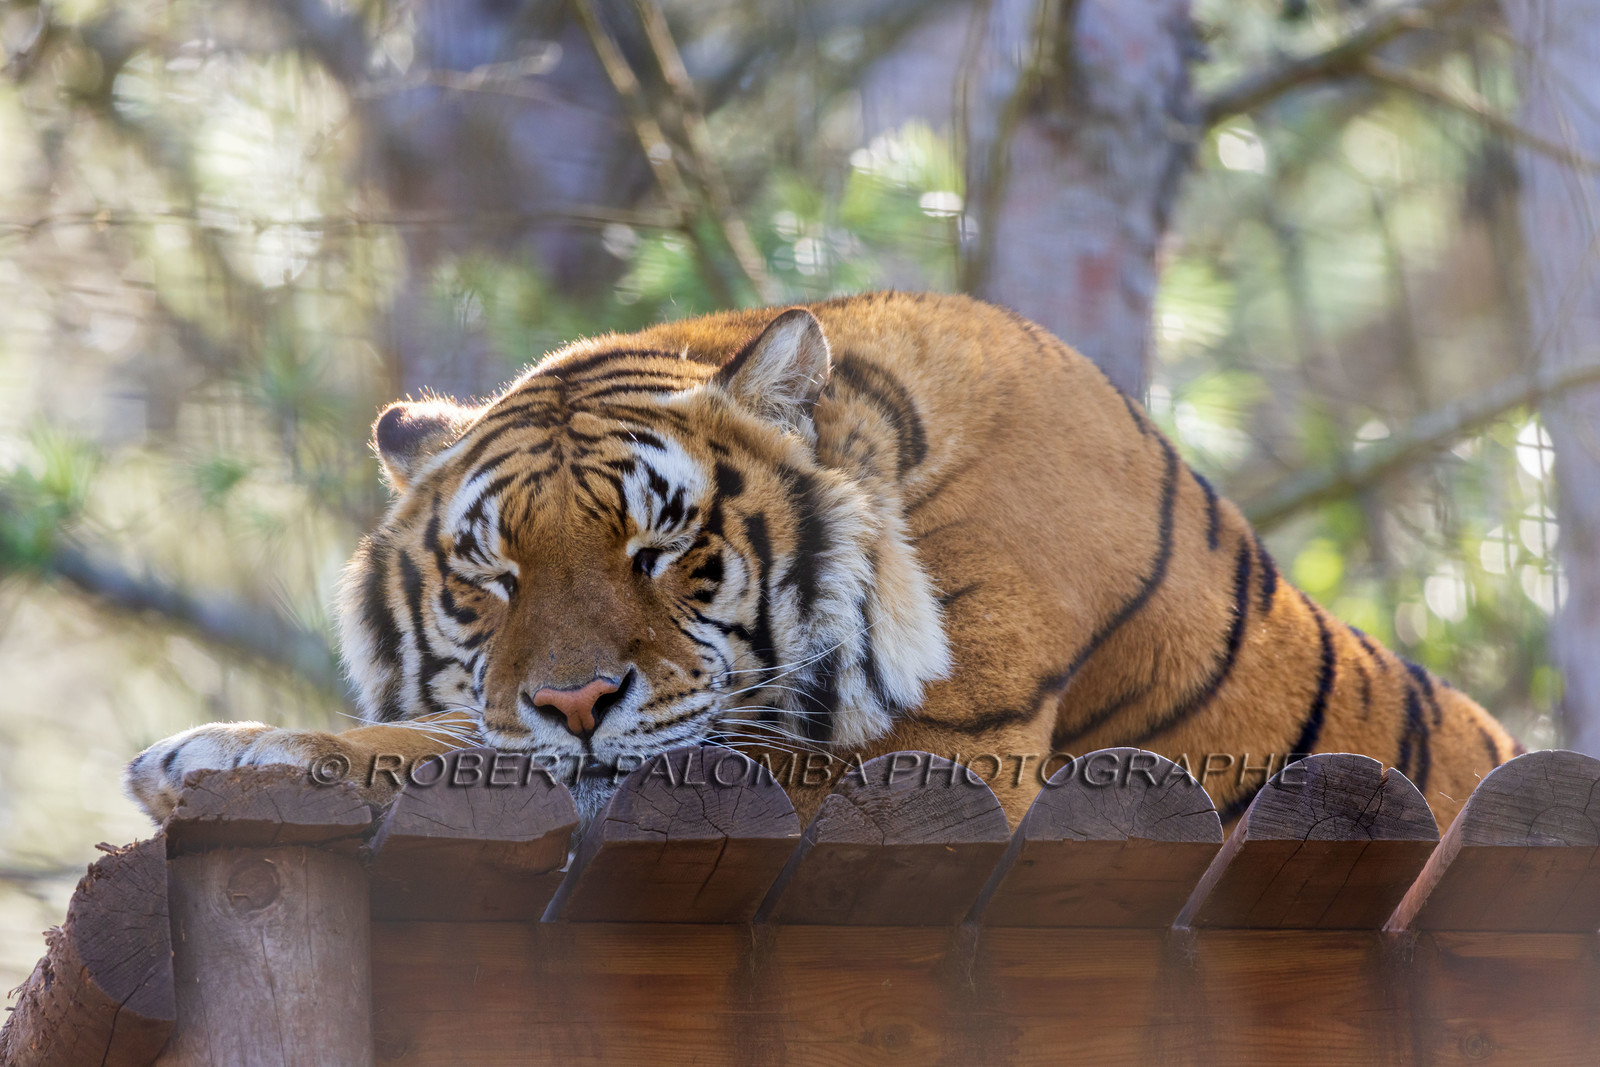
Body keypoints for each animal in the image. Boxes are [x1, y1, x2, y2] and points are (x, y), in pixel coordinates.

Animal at [126, 291, 1520, 831]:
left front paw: (225, 747)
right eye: (491, 578)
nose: (575, 700)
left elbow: (465, 747)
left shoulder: (920, 762)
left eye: (663, 546)